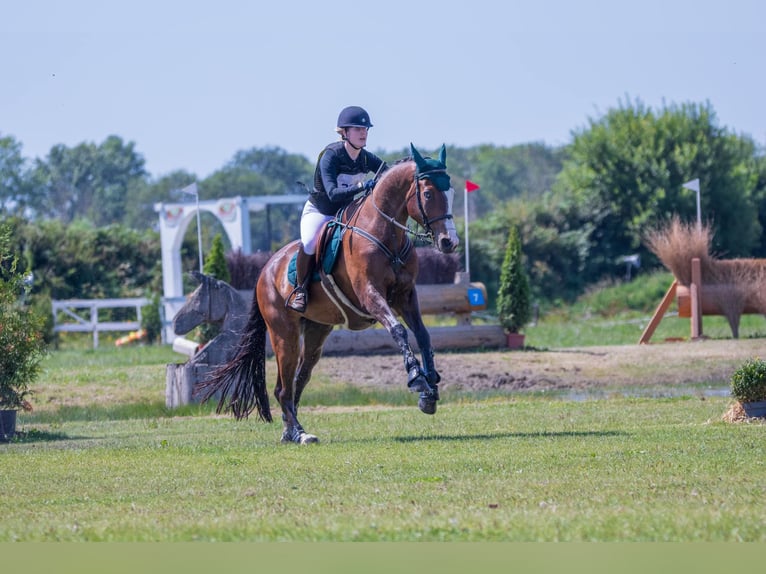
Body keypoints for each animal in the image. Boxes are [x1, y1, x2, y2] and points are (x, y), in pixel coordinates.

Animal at [198, 144, 462, 446]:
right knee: (283, 388)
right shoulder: (370, 295)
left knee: (297, 380)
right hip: (284, 334)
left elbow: (422, 334)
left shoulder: (406, 296)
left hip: (316, 331)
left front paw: (430, 388)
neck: (385, 235)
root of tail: (265, 270)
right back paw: (300, 433)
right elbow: (398, 330)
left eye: (452, 192)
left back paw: (290, 431)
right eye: (428, 194)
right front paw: (418, 380)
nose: (449, 242)